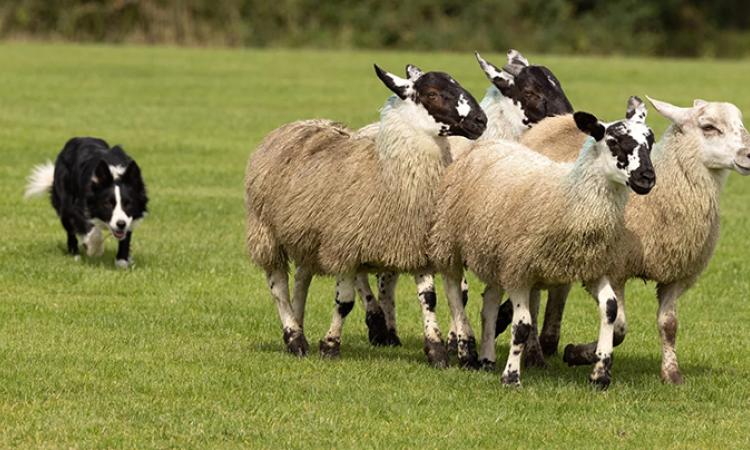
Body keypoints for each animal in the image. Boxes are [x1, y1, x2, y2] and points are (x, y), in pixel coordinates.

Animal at [245, 64, 487, 367]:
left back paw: (299, 326)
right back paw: (294, 337)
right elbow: (345, 302)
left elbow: (428, 298)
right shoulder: (344, 247)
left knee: (301, 280)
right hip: (266, 231)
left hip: (308, 236)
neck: (387, 171)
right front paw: (330, 346)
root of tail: (295, 124)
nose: (481, 120)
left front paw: (436, 351)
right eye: (432, 94)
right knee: (278, 285)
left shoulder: (415, 242)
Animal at [345, 50, 574, 351]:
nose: (571, 121)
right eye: (530, 91)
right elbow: (461, 291)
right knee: (362, 275)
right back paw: (378, 326)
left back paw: (390, 333)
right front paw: (459, 342)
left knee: (387, 279)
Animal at [430, 97, 656, 387]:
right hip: (450, 243)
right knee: (454, 293)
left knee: (489, 303)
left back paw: (487, 359)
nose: (647, 178)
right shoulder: (519, 270)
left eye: (650, 142)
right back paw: (466, 351)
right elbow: (522, 326)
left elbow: (610, 308)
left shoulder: (592, 265)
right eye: (614, 142)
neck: (570, 195)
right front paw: (511, 377)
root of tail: (487, 144)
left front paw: (601, 374)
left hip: (494, 253)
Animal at [496, 97, 750, 383]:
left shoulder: (676, 276)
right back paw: (535, 354)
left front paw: (672, 374)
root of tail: (555, 120)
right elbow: (618, 328)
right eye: (709, 127)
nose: (749, 154)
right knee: (534, 298)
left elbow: (669, 325)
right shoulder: (614, 269)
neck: (666, 194)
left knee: (558, 290)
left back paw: (548, 341)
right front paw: (579, 354)